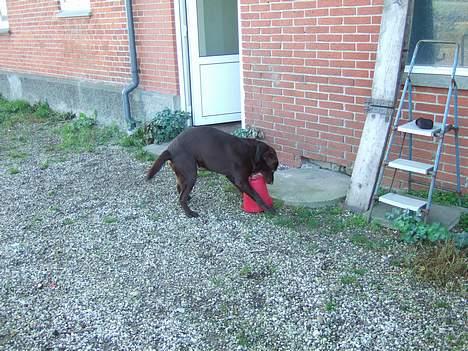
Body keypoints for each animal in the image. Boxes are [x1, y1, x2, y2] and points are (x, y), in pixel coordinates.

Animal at [146, 127, 278, 217]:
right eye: (273, 168)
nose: (271, 182)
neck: (252, 152)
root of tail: (170, 150)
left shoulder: (232, 177)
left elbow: (243, 191)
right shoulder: (241, 180)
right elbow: (256, 195)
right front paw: (269, 209)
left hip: (182, 173)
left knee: (179, 187)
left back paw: (188, 198)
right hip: (191, 174)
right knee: (181, 197)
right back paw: (189, 213)